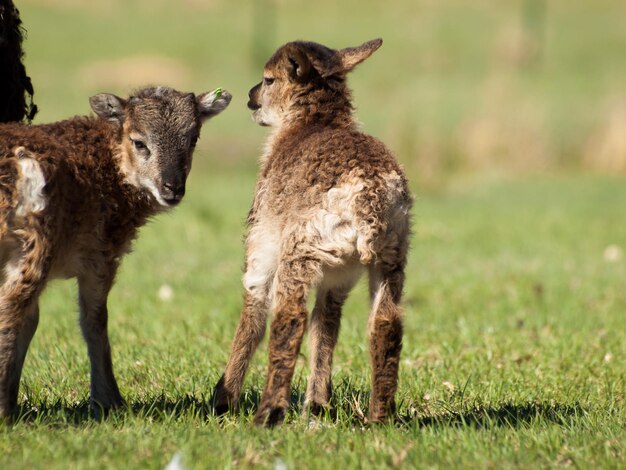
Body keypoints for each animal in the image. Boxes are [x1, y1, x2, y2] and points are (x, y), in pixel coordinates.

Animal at [0, 85, 230, 418]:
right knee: (11, 305)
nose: (172, 187)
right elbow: (94, 319)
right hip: (36, 241)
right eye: (139, 141)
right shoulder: (101, 252)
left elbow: (33, 320)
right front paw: (109, 401)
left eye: (193, 138)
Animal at [212, 38, 412, 428]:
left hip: (301, 248)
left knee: (290, 317)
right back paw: (379, 417)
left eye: (269, 79)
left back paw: (267, 413)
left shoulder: (262, 240)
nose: (251, 96)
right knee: (385, 323)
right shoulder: (339, 275)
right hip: (390, 253)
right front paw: (317, 403)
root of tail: (368, 196)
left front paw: (222, 399)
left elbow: (254, 308)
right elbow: (327, 324)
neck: (307, 125)